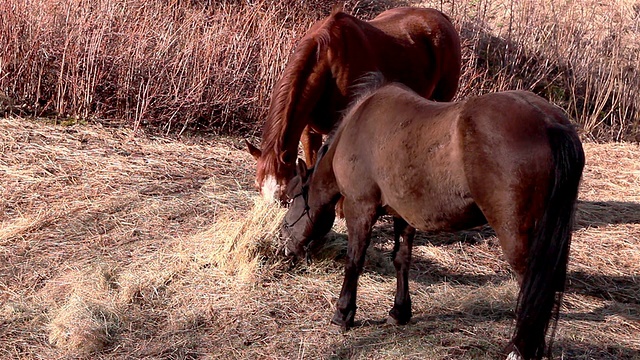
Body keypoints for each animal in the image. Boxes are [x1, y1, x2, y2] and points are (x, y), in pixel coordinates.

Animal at [280, 81, 584, 360]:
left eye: (292, 198)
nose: (285, 241)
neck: (357, 129)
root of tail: (548, 122)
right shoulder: (403, 215)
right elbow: (401, 260)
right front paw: (399, 312)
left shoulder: (360, 209)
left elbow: (354, 262)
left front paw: (343, 315)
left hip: (516, 235)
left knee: (531, 287)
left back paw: (519, 350)